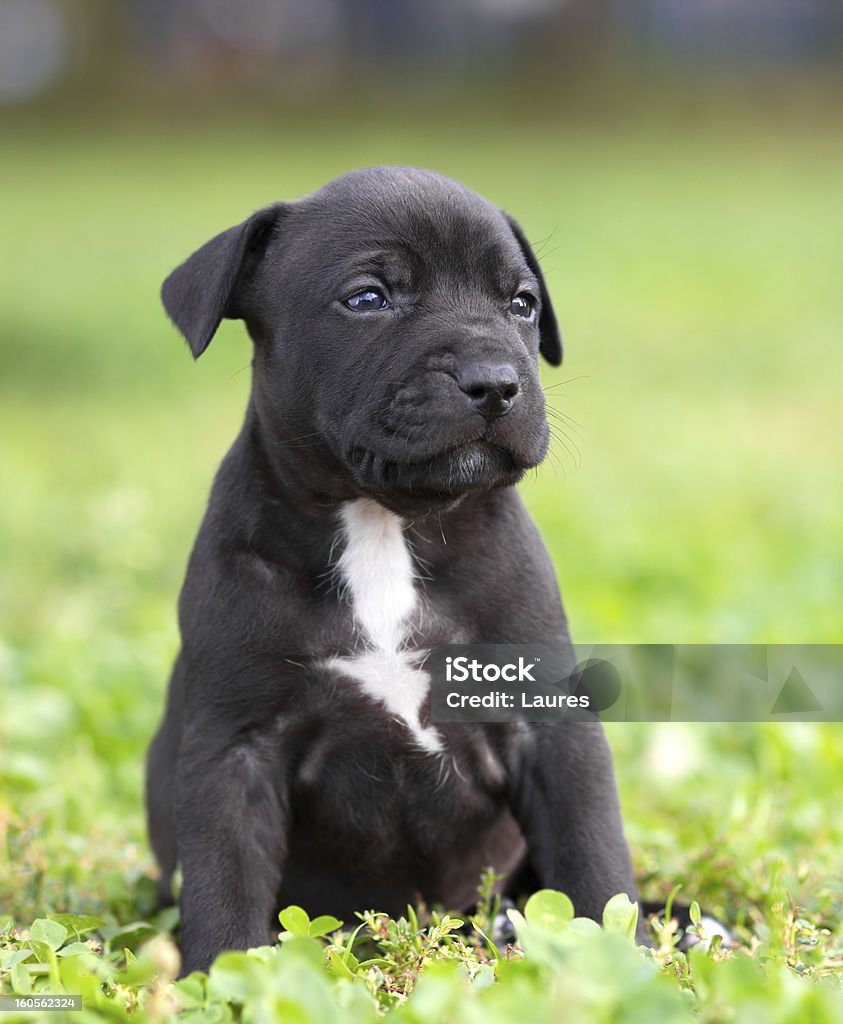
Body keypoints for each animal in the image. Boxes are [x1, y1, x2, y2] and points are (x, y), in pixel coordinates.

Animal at [148, 163, 643, 970]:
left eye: (521, 304)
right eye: (367, 299)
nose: (494, 380)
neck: (384, 523)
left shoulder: (551, 723)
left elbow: (594, 860)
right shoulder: (233, 749)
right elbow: (224, 886)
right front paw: (222, 980)